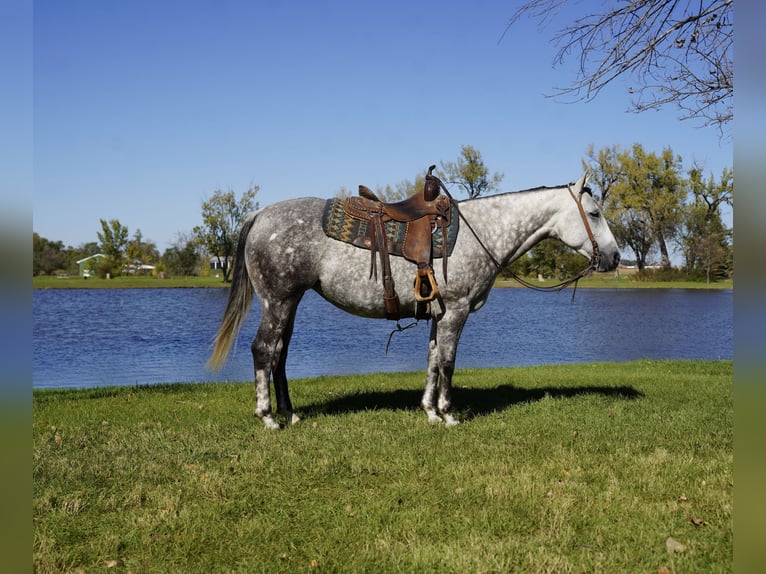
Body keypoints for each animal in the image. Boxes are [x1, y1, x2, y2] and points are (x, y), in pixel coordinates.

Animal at [208, 173, 621, 429]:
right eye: (595, 213)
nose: (615, 257)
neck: (482, 232)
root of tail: (260, 214)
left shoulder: (439, 314)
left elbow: (433, 360)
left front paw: (430, 412)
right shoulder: (456, 311)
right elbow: (449, 362)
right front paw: (449, 414)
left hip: (289, 303)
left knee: (280, 354)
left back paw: (290, 414)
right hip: (277, 301)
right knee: (264, 350)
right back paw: (268, 417)